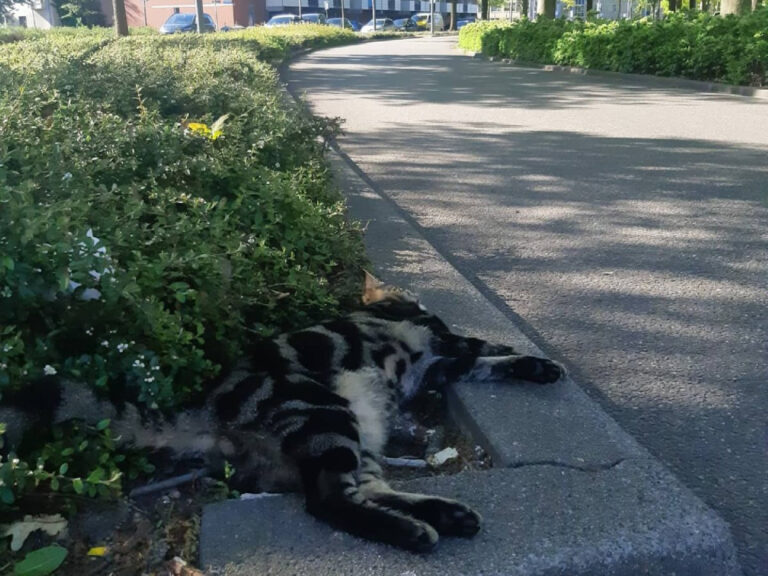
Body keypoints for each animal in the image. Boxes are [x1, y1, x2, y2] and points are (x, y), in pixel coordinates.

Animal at [0, 274, 564, 552]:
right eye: (394, 296)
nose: (410, 300)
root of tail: (207, 406)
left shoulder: (437, 363)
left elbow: (487, 358)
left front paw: (531, 364)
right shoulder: (440, 348)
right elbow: (483, 348)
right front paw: (535, 361)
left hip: (358, 438)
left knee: (367, 491)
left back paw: (444, 515)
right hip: (327, 415)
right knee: (328, 501)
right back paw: (415, 533)